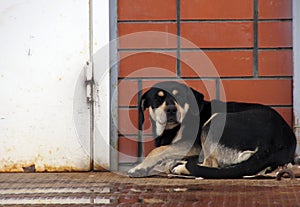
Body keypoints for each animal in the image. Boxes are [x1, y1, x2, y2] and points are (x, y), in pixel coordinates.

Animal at [127, 81, 296, 178]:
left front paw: (139, 168)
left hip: (213, 121)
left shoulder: (192, 144)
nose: (170, 110)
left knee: (211, 165)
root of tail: (273, 142)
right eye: (157, 99)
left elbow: (158, 150)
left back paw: (181, 168)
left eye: (180, 97)